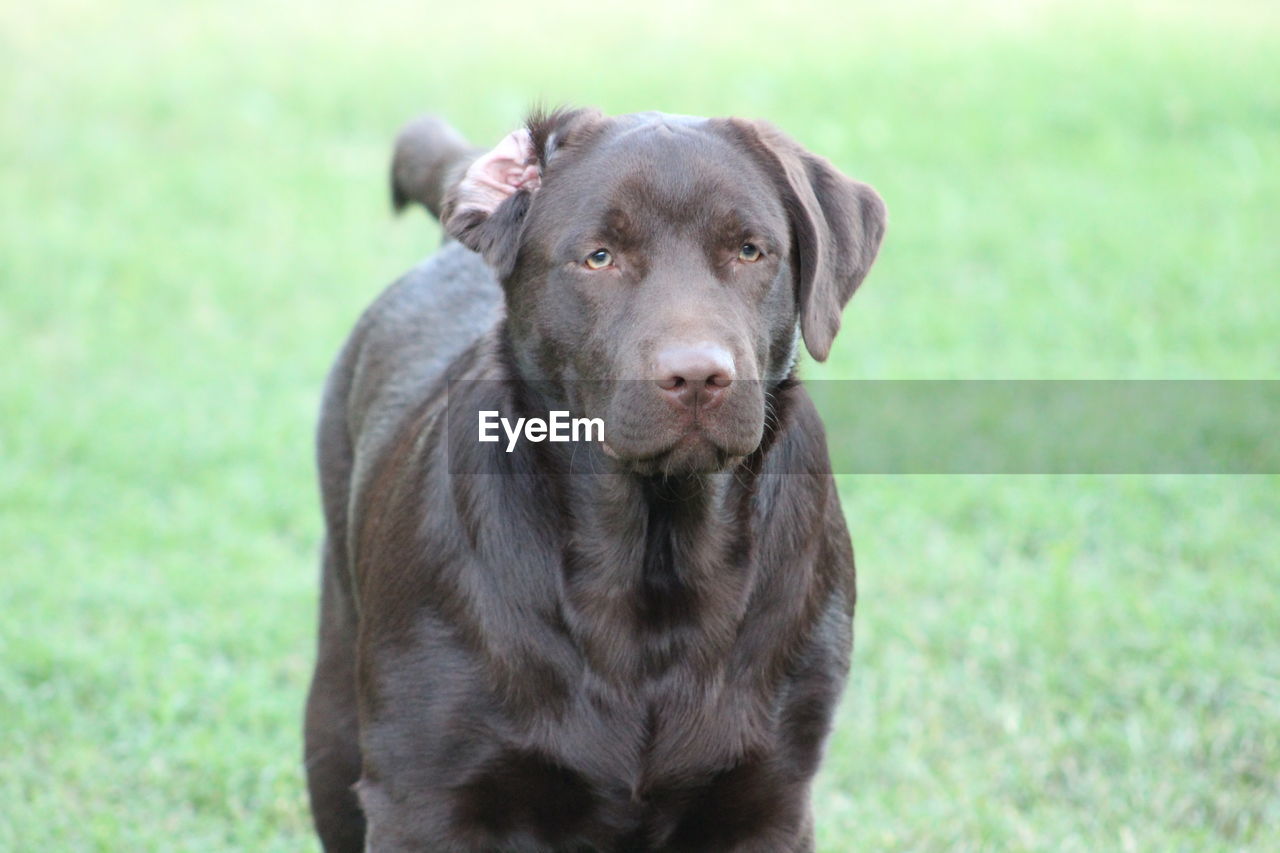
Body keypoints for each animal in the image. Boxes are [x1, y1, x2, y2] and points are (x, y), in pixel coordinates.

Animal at [307, 109, 890, 845]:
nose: (698, 376)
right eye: (600, 257)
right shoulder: (422, 797)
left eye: (750, 251)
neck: (655, 555)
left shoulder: (770, 794)